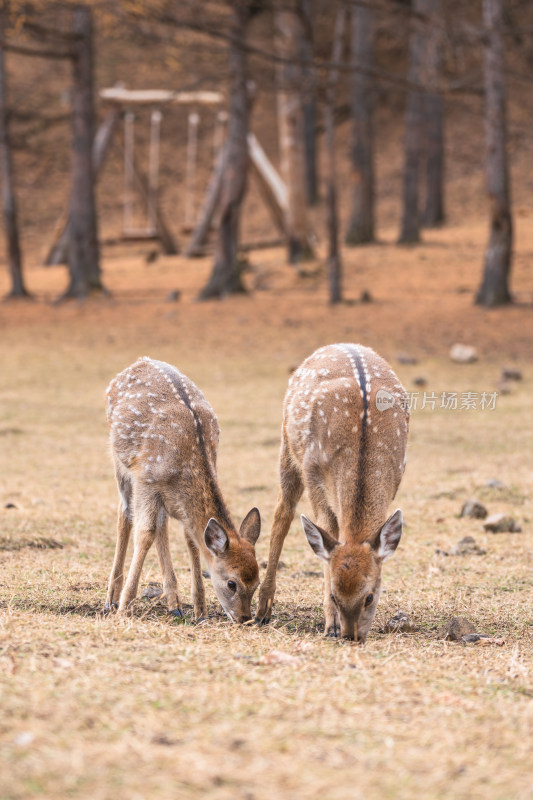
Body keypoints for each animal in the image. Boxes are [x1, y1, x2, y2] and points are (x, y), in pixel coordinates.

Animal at [105, 356, 260, 624]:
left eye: (257, 583)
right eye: (232, 583)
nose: (244, 618)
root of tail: (140, 361)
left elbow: (190, 539)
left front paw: (201, 611)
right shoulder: (146, 481)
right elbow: (144, 534)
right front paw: (125, 608)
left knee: (161, 525)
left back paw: (174, 603)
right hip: (121, 464)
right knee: (125, 514)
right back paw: (111, 599)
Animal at [254, 344, 408, 644]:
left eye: (370, 596)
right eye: (335, 595)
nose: (351, 636)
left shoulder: (397, 474)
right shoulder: (313, 471)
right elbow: (326, 536)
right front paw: (330, 624)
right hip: (287, 446)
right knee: (282, 515)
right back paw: (262, 609)